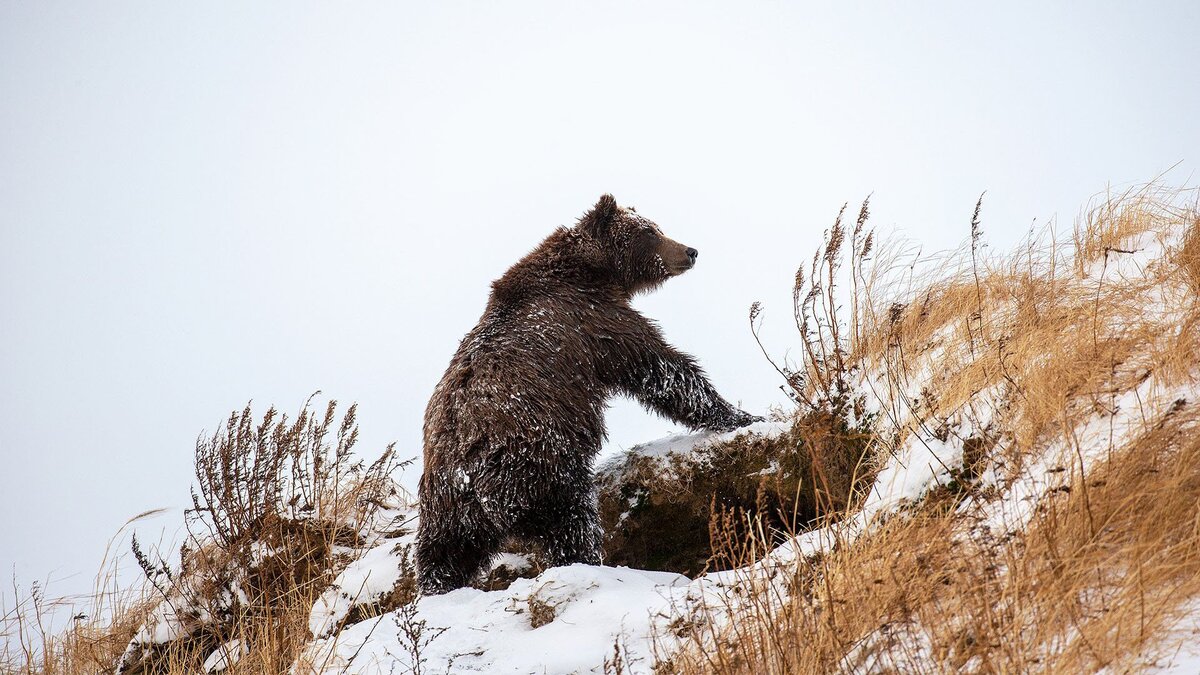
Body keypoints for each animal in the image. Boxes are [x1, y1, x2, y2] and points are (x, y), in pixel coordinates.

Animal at [417, 194, 758, 593]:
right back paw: (589, 561)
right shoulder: (595, 321)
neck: (592, 271)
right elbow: (660, 366)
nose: (690, 251)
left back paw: (436, 587)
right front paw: (738, 414)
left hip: (445, 509)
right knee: (572, 520)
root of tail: (468, 479)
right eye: (650, 231)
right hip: (542, 460)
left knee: (444, 554)